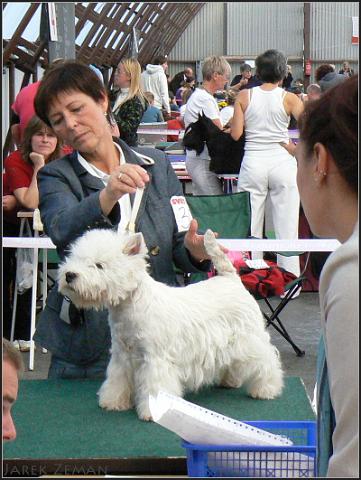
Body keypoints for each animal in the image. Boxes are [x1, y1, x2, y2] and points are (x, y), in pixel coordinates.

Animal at [59, 229, 282, 420]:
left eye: (99, 265)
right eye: (75, 258)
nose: (69, 275)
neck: (129, 305)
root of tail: (231, 279)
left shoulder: (155, 359)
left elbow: (154, 387)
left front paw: (152, 411)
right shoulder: (122, 355)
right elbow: (117, 379)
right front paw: (113, 402)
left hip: (249, 338)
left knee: (267, 361)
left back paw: (266, 389)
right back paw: (230, 381)